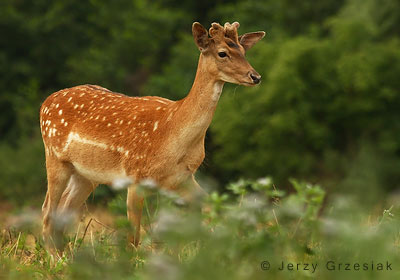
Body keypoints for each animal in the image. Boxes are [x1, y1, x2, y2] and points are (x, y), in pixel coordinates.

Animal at [40, 22, 266, 249]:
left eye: (243, 51)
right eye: (222, 53)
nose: (255, 77)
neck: (173, 135)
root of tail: (45, 103)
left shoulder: (183, 177)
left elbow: (206, 210)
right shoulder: (135, 176)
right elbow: (133, 237)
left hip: (86, 175)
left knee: (63, 211)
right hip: (55, 158)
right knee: (48, 212)